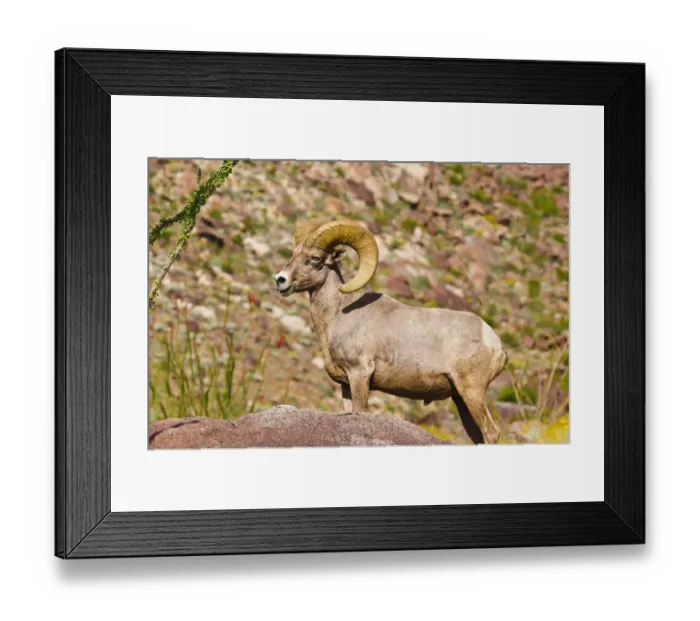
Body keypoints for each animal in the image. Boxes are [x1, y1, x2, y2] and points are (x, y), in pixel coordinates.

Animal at [273, 220, 507, 444]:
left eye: (314, 259)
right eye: (294, 254)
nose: (280, 279)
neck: (337, 315)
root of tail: (496, 344)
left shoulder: (360, 374)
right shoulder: (346, 384)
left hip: (472, 392)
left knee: (491, 433)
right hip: (460, 399)